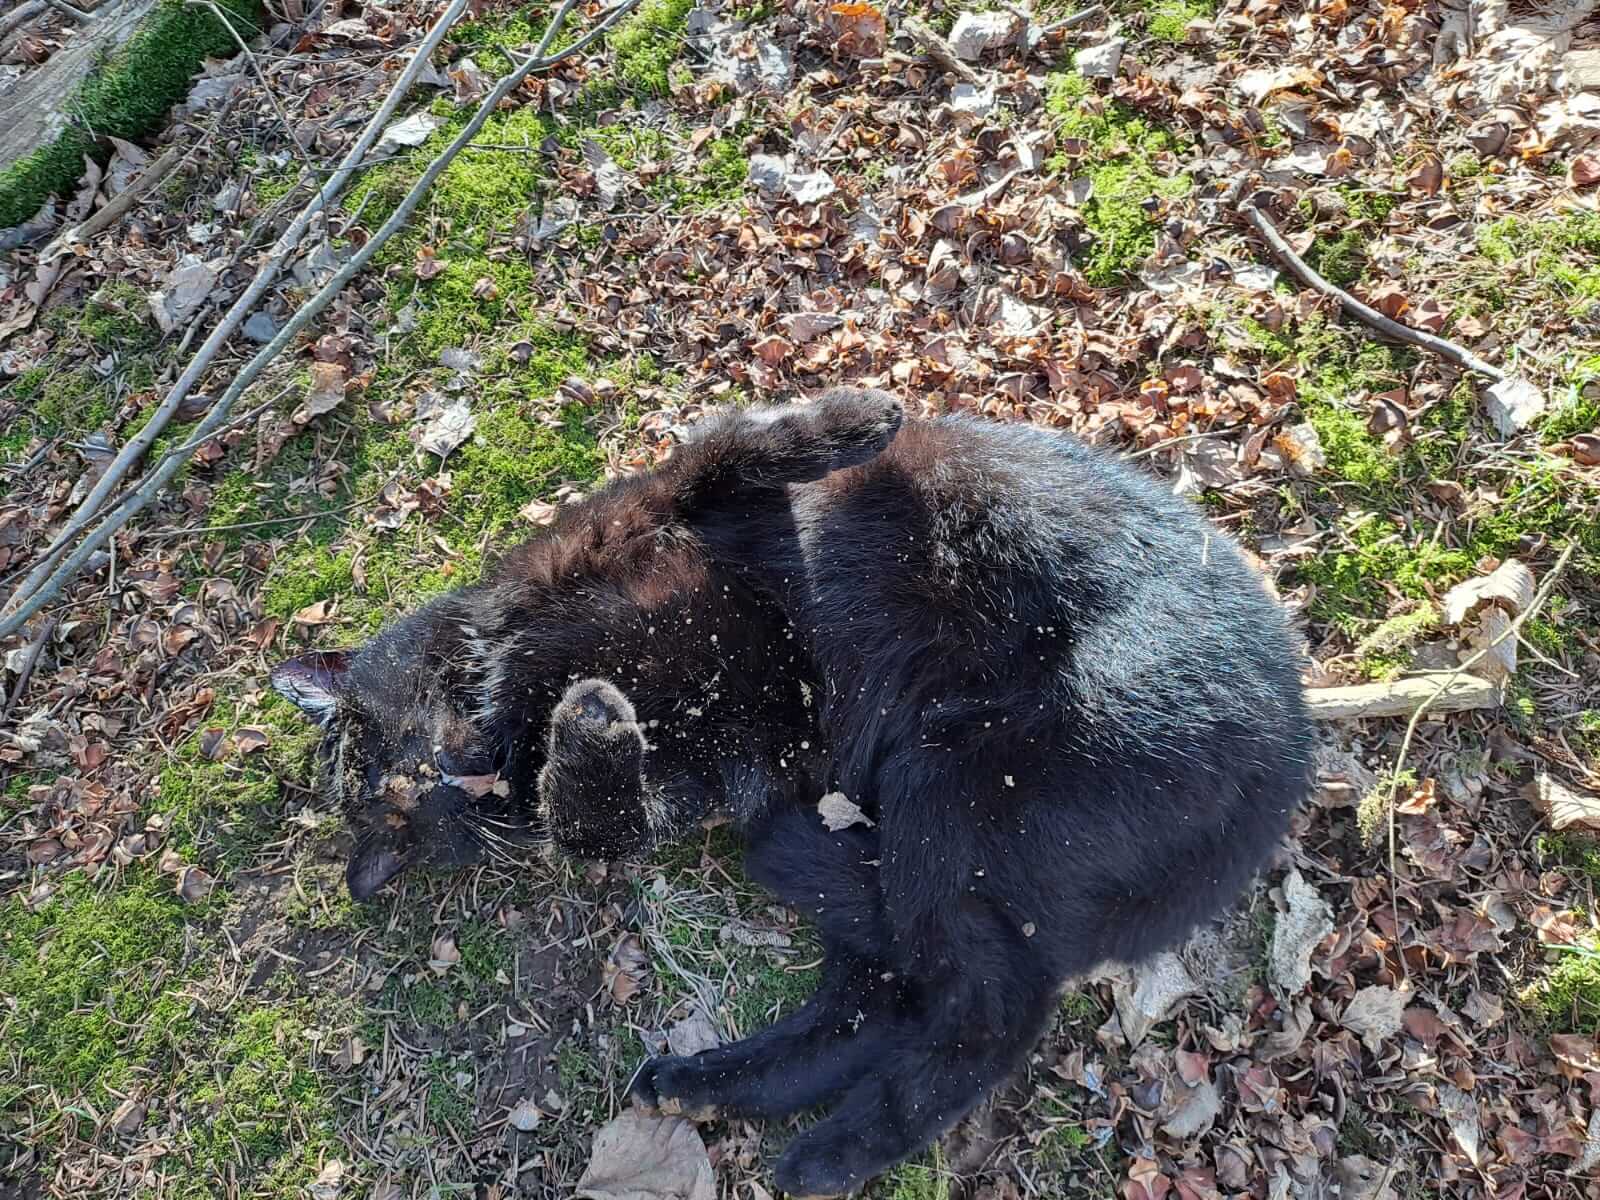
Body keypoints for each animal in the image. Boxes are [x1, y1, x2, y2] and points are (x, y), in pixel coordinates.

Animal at [272, 390, 1312, 1196]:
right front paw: (592, 727)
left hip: (961, 797)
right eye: (409, 813)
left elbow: (734, 441)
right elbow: (593, 819)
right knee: (944, 1005)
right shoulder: (699, 781)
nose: (457, 779)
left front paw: (862, 415)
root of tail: (1292, 754)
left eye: (393, 769)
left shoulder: (652, 510)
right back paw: (775, 1122)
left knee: (946, 996)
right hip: (942, 814)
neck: (519, 685)